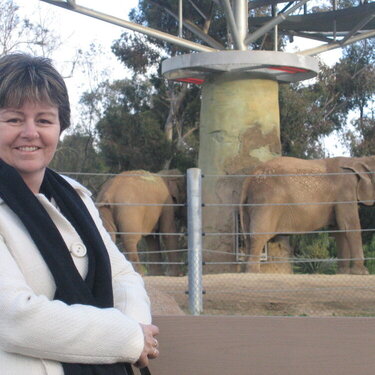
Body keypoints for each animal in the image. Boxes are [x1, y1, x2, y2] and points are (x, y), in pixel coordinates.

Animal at [241, 156, 375, 276]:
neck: (358, 160)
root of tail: (249, 177)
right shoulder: (345, 192)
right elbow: (349, 226)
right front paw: (362, 273)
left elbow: (339, 230)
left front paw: (343, 273)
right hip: (266, 200)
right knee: (258, 234)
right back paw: (253, 272)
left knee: (248, 236)